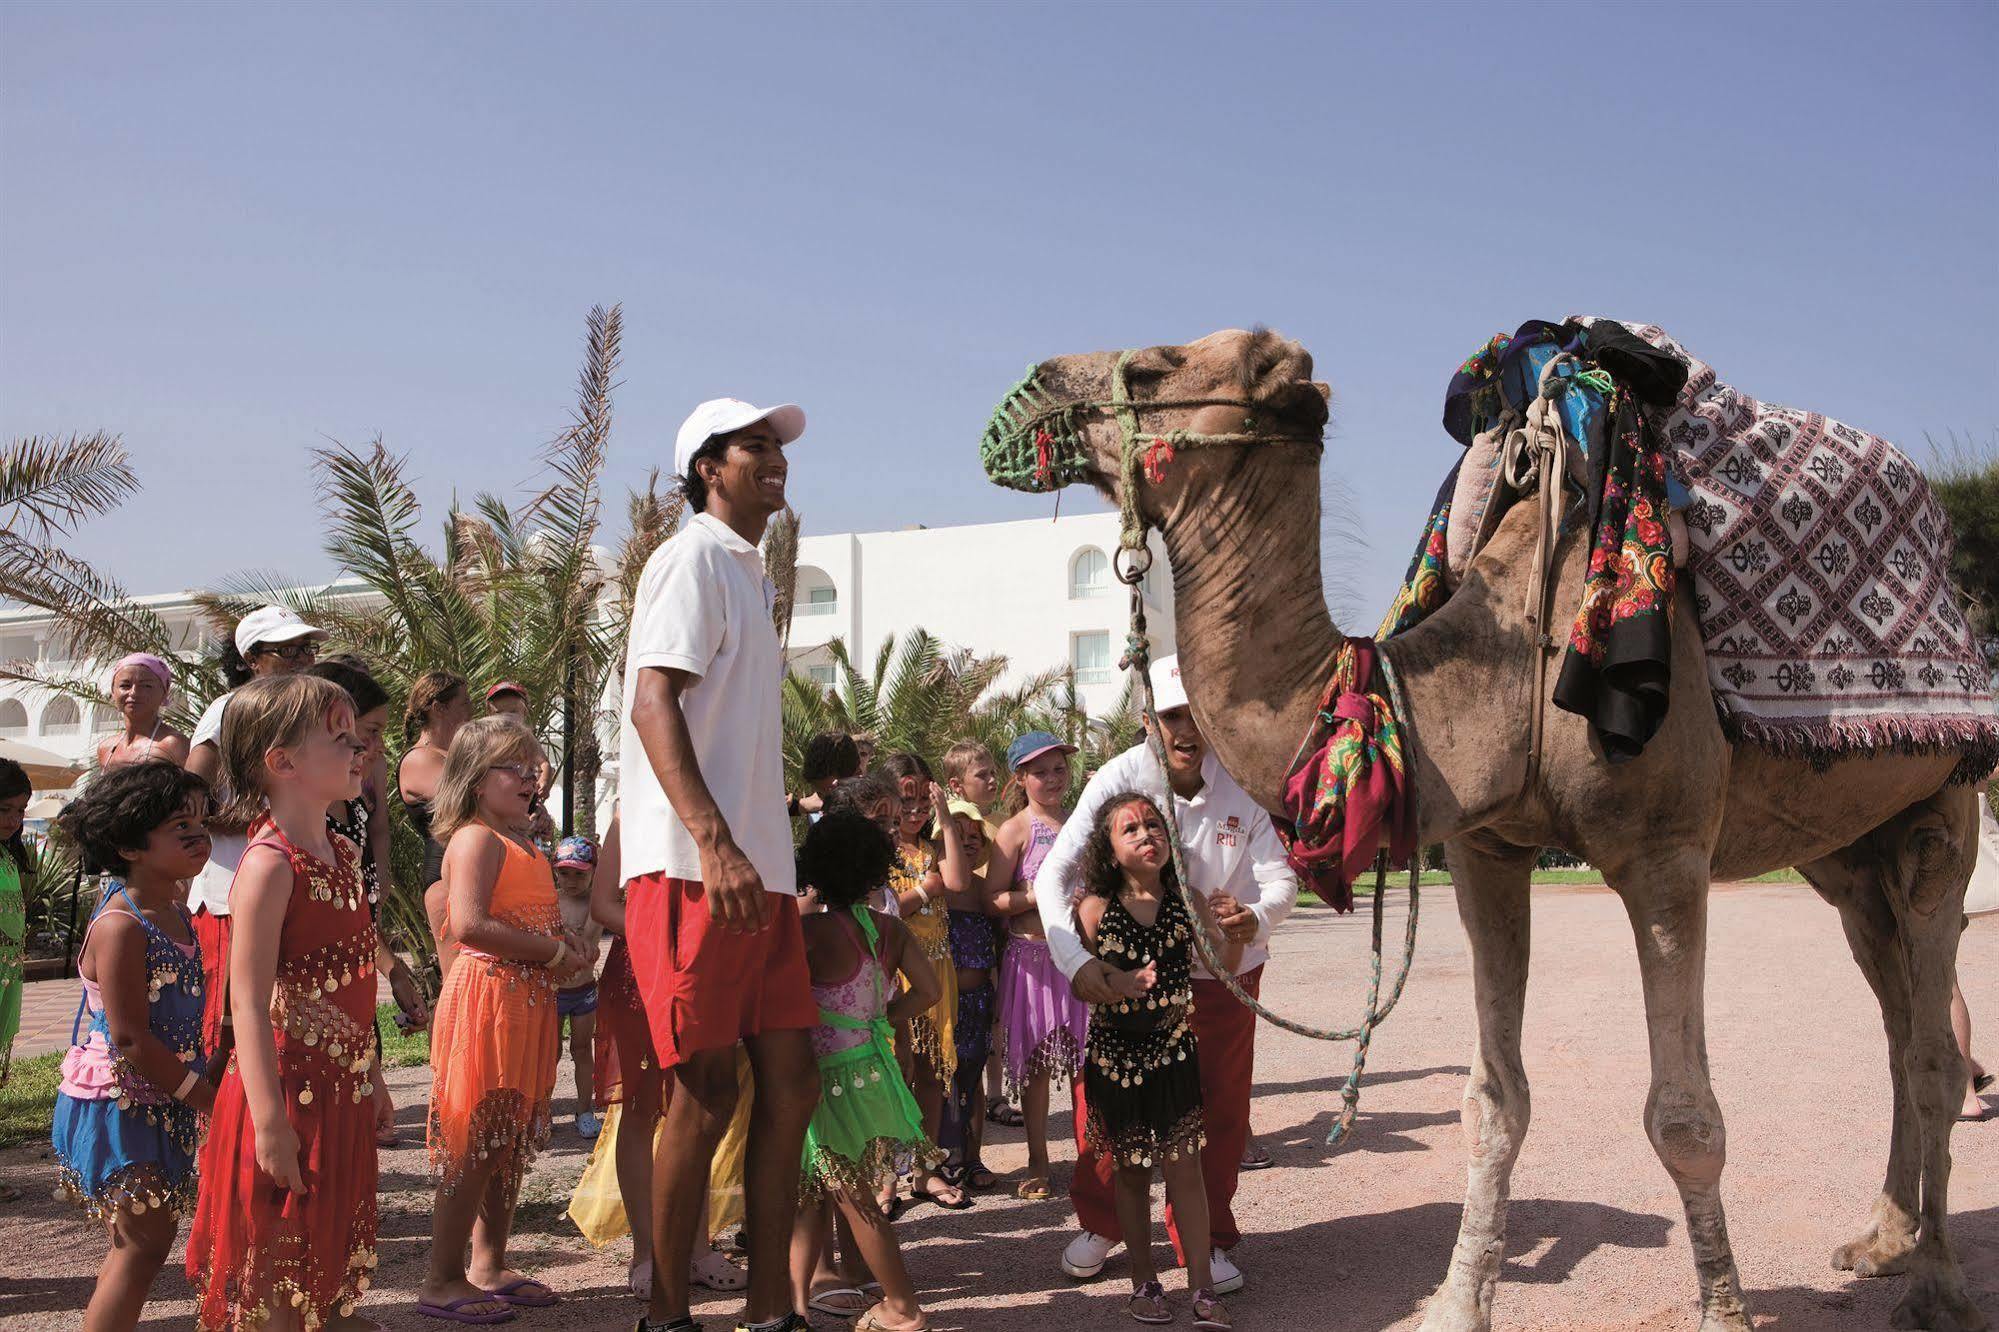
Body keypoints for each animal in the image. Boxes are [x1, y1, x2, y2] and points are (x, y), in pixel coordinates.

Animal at [975, 330, 1991, 1328]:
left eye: (1157, 367)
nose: (1022, 393)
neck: (1505, 674)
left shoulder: (1664, 850)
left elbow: (1684, 1118)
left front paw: (1725, 1313)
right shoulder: (1484, 849)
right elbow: (1491, 1103)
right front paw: (1457, 1307)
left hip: (1944, 800)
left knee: (1934, 1047)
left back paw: (1936, 1286)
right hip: (1843, 852)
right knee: (1893, 1017)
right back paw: (1880, 1239)